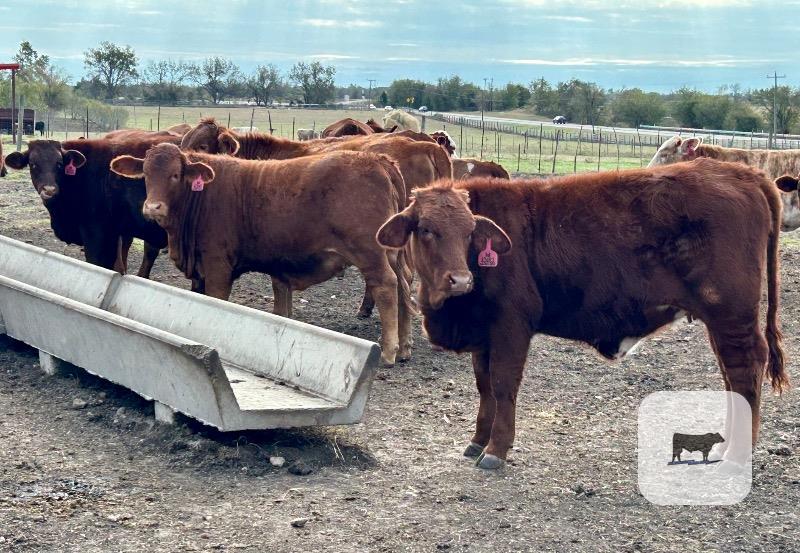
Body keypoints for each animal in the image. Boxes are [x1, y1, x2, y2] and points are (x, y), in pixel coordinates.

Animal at [110, 143, 413, 366]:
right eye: (146, 174)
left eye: (175, 174)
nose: (153, 207)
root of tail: (379, 159)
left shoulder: (217, 264)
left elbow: (216, 300)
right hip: (392, 254)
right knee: (404, 287)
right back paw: (404, 348)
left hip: (370, 253)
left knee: (386, 286)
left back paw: (389, 351)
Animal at [376, 158, 787, 469]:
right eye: (426, 230)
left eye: (469, 232)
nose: (460, 280)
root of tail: (740, 171)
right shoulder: (483, 334)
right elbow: (484, 386)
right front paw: (477, 440)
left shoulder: (511, 326)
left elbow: (504, 385)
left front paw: (496, 450)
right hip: (721, 321)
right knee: (732, 378)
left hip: (732, 315)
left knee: (745, 371)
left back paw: (737, 453)